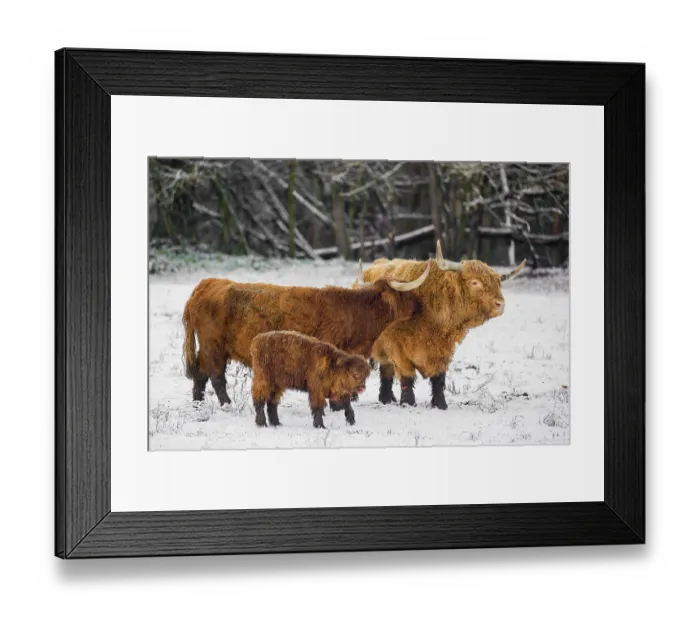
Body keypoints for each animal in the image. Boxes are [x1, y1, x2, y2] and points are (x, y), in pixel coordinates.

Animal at [181, 260, 432, 423]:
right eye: (406, 293)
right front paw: (336, 407)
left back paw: (198, 403)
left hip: (208, 348)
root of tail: (205, 284)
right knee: (215, 376)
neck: (357, 314)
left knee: (200, 375)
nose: (420, 304)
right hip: (214, 346)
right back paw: (227, 404)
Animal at [357, 240, 526, 410]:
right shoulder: (397, 348)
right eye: (475, 282)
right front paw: (408, 402)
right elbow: (407, 376)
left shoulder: (443, 350)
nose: (500, 304)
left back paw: (387, 398)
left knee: (386, 370)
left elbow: (438, 378)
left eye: (498, 284)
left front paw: (440, 404)